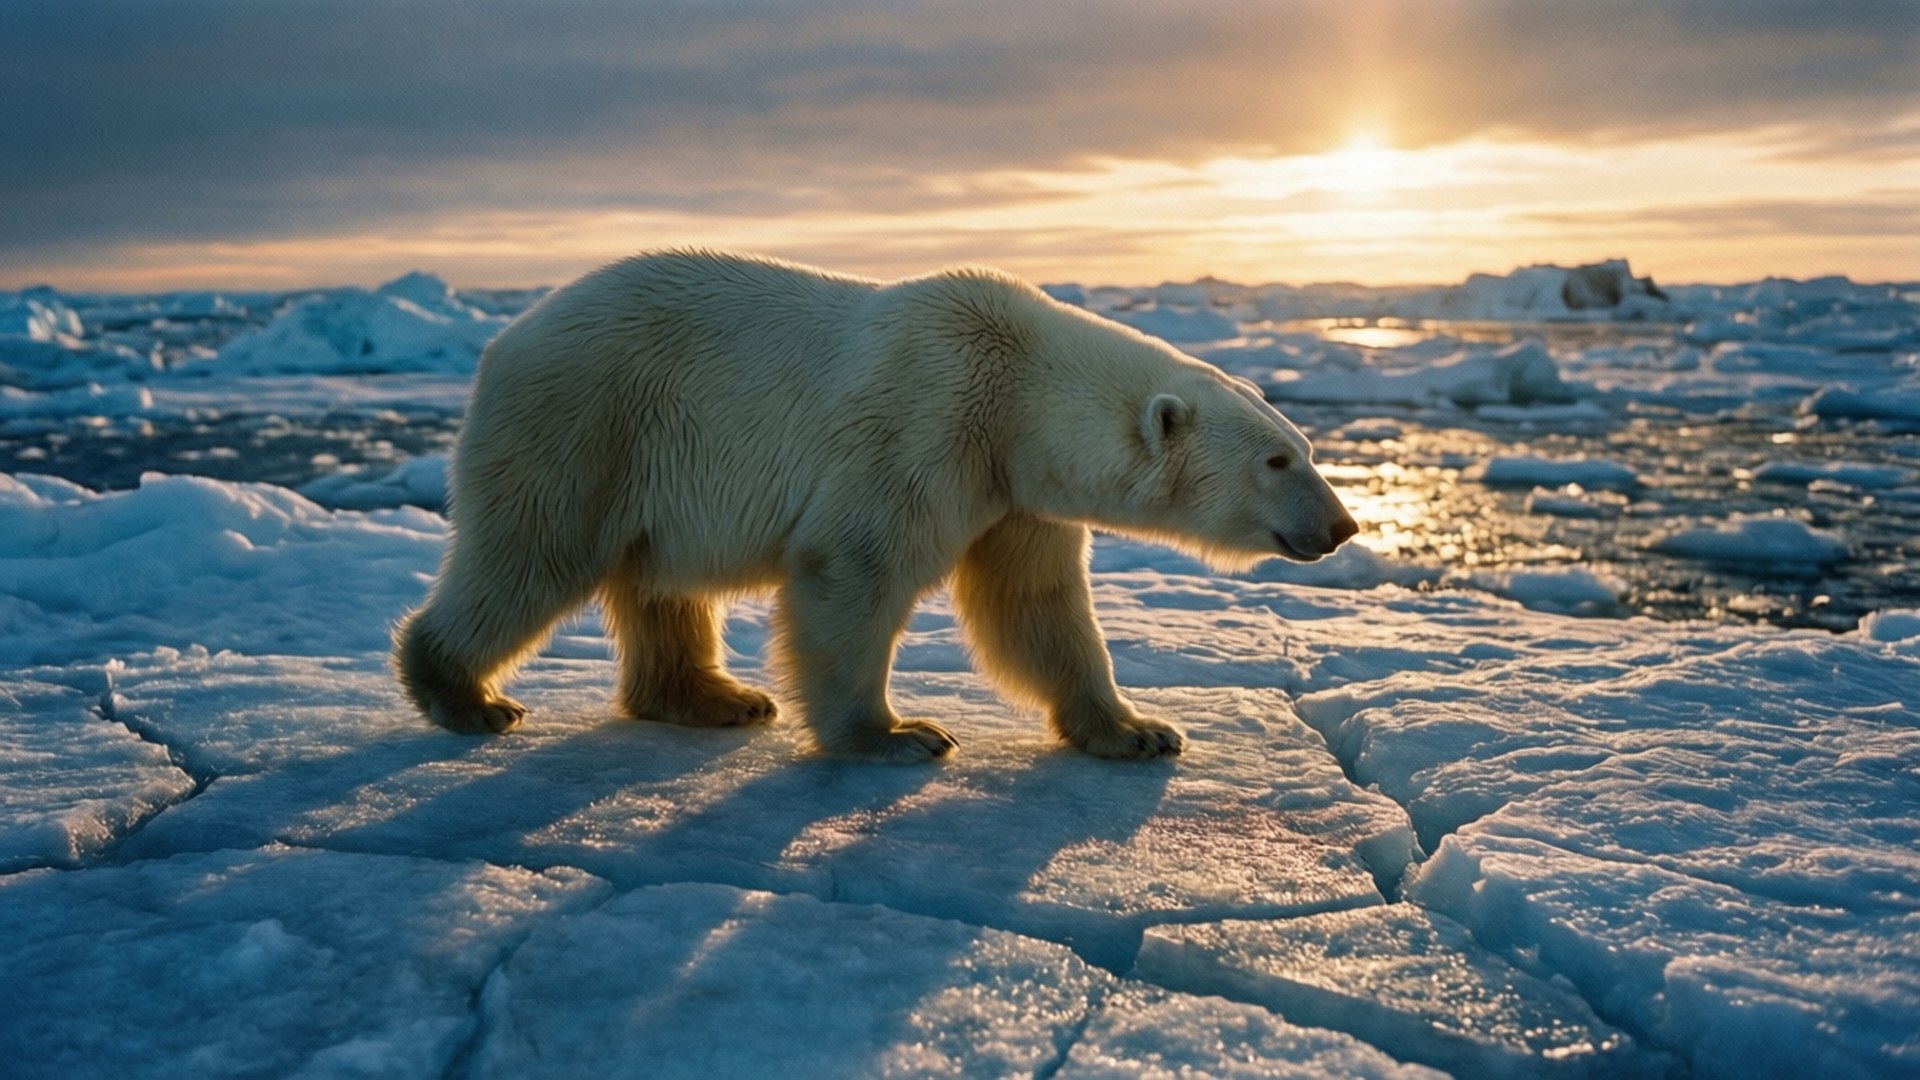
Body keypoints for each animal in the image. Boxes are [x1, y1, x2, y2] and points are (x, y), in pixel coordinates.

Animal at [393, 250, 1357, 762]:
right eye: (1278, 459)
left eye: (1306, 448)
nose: (1344, 525)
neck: (1017, 387)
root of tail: (503, 341)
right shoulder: (928, 423)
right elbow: (854, 567)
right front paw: (897, 735)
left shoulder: (1015, 494)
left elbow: (1036, 606)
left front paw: (1139, 730)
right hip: (589, 421)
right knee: (530, 553)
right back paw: (464, 694)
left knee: (659, 582)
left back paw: (715, 697)